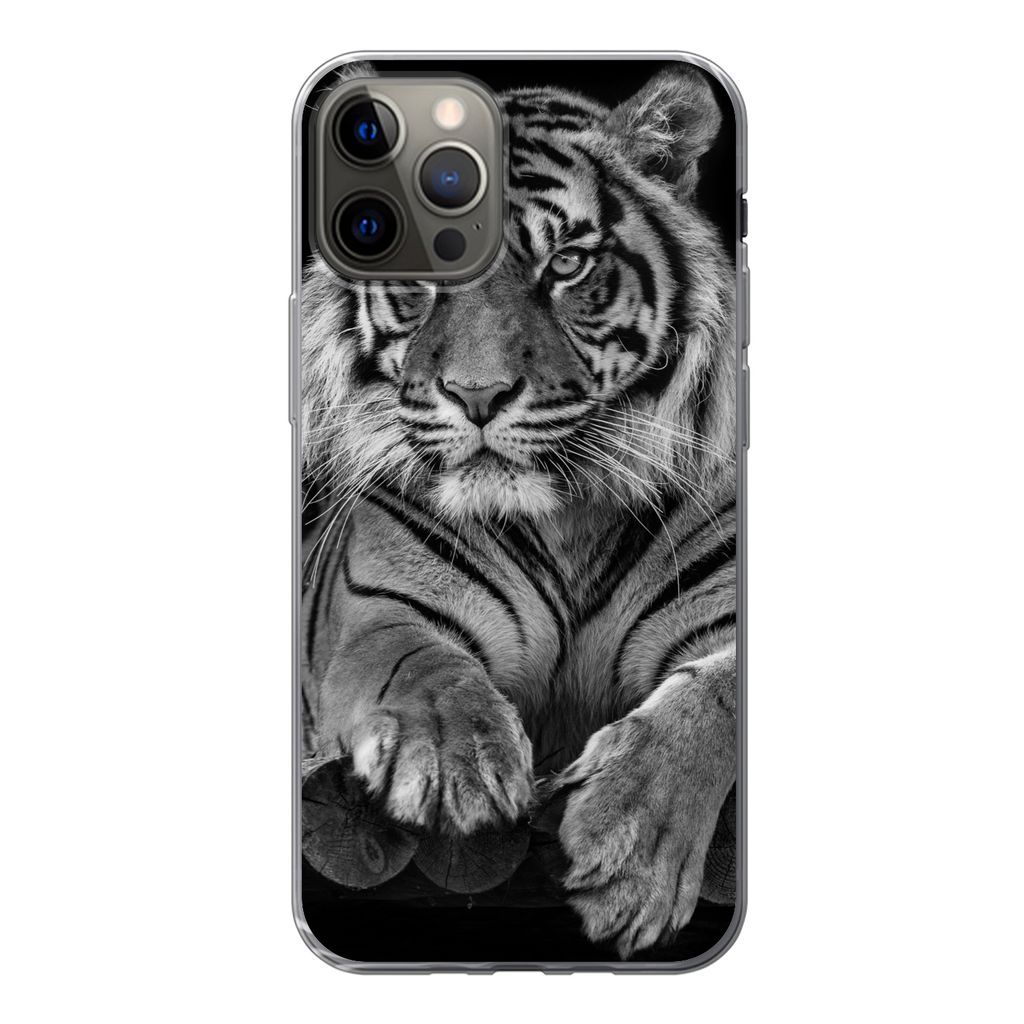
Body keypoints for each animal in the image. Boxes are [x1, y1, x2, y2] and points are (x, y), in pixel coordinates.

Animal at [300, 62, 737, 959]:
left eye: (567, 265)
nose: (477, 395)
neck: (565, 519)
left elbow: (718, 695)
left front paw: (631, 846)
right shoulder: (372, 608)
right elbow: (417, 663)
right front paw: (453, 762)